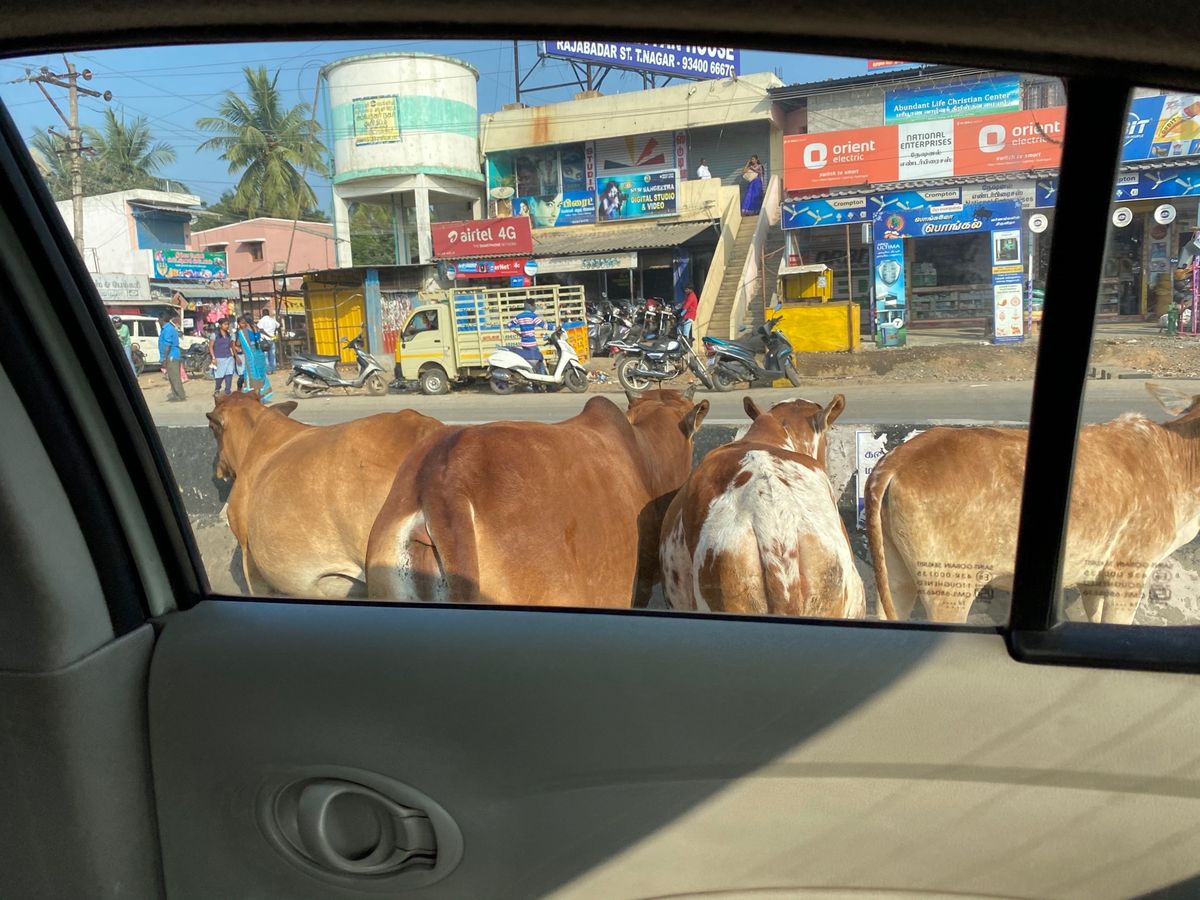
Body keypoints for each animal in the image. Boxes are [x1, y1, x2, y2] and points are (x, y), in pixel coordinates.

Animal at [866, 382, 1200, 625]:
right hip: (949, 588)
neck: (1174, 460)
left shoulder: (1093, 576)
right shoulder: (1129, 569)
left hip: (897, 578)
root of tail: (897, 460)